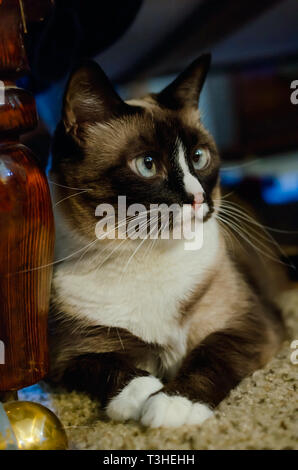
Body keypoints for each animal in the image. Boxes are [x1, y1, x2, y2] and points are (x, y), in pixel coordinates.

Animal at [47, 53, 288, 428]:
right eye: (147, 165)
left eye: (199, 157)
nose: (197, 198)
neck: (143, 255)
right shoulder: (72, 353)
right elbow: (107, 366)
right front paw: (144, 393)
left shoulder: (248, 325)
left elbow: (211, 355)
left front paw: (173, 404)